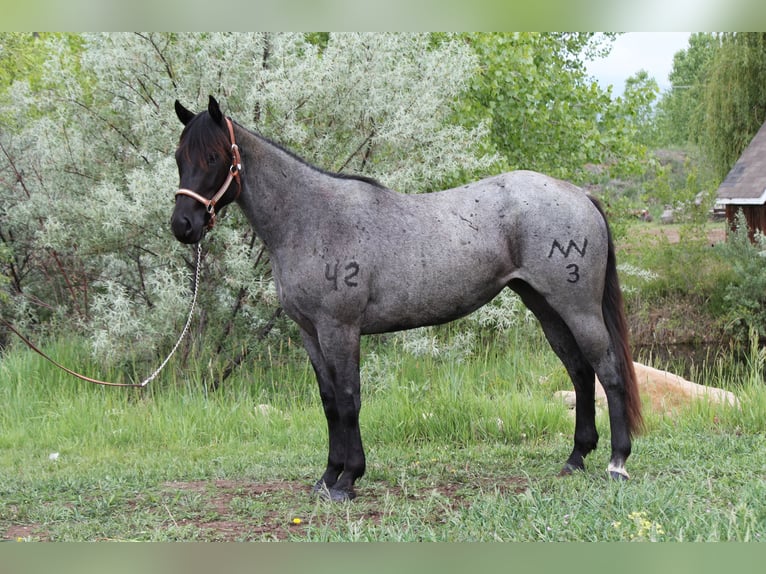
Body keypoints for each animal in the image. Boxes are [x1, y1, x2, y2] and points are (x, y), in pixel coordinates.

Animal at [170, 96, 643, 502]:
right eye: (178, 158)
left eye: (213, 158)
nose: (183, 225)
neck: (311, 219)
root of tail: (578, 194)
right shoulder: (310, 332)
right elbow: (329, 402)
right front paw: (326, 478)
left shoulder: (340, 329)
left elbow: (348, 399)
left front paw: (348, 479)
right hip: (545, 307)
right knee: (580, 373)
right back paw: (576, 458)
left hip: (577, 307)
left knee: (607, 370)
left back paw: (617, 463)